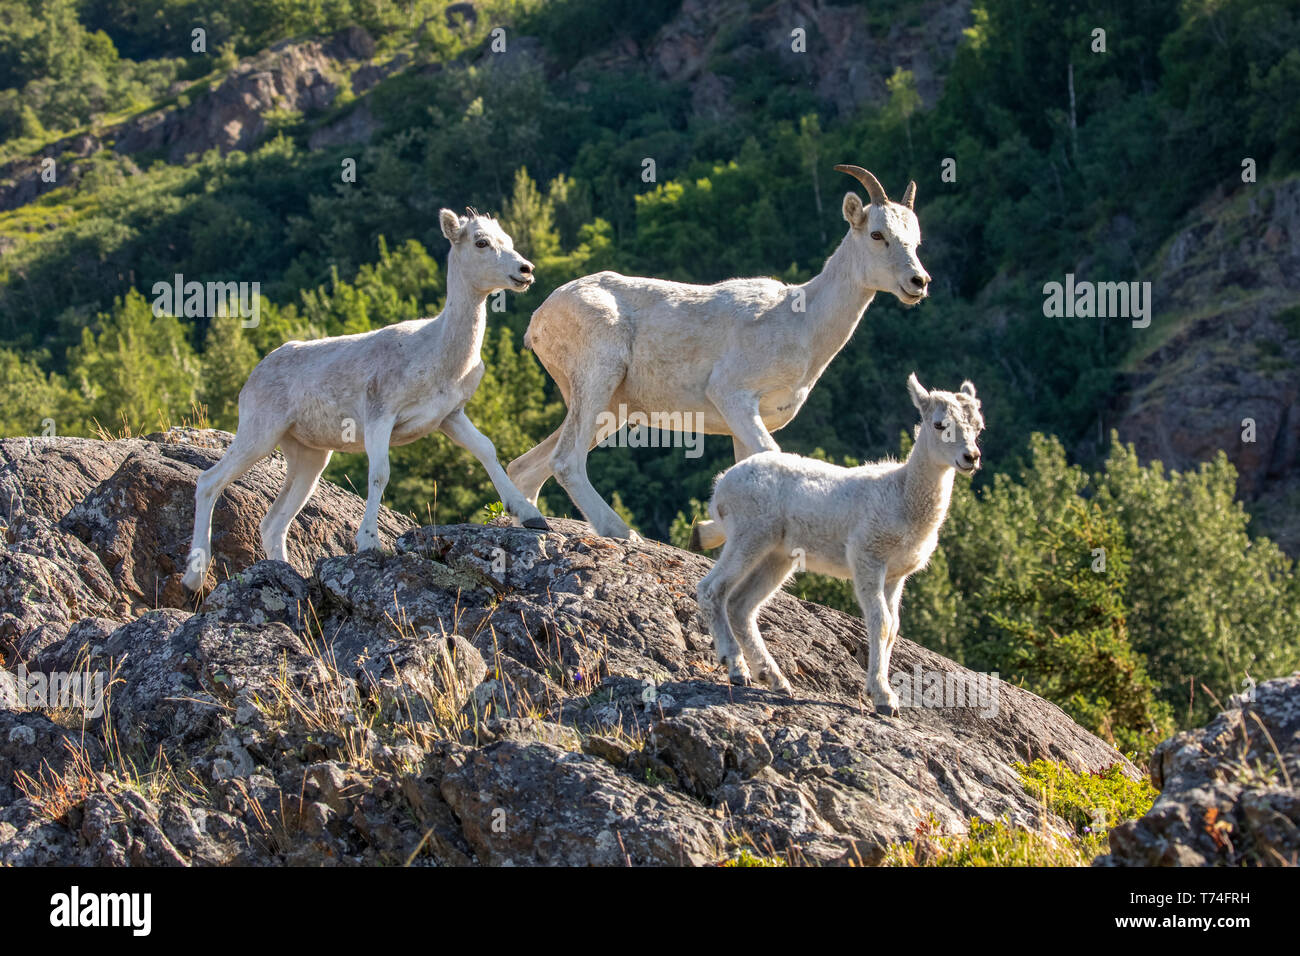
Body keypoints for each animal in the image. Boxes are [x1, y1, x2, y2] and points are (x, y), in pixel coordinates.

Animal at [181, 209, 549, 593]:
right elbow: (380, 474)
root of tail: (254, 375)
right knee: (209, 482)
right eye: (481, 242)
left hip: (308, 456)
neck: (435, 351)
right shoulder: (379, 416)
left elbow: (486, 450)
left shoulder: (450, 417)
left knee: (273, 522)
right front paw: (369, 541)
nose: (525, 270)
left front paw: (533, 518)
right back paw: (193, 578)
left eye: (507, 240)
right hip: (259, 433)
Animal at [507, 165, 929, 539]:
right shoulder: (732, 394)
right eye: (877, 234)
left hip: (611, 409)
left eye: (915, 239)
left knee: (527, 467)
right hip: (599, 380)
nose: (918, 281)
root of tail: (539, 319)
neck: (801, 322)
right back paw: (623, 532)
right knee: (565, 461)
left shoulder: (743, 422)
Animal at [691, 374, 984, 714]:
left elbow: (893, 627)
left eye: (979, 427)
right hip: (749, 533)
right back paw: (737, 668)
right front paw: (883, 698)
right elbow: (881, 622)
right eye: (939, 424)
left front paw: (882, 693)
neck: (902, 496)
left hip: (778, 554)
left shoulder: (896, 574)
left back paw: (774, 678)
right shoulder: (867, 555)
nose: (971, 457)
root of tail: (719, 489)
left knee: (741, 605)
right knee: (712, 589)